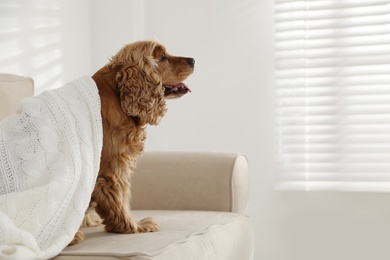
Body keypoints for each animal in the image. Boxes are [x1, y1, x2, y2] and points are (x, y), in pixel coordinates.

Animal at [70, 41, 195, 246]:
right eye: (162, 57)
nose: (193, 60)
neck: (117, 94)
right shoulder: (111, 168)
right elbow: (120, 199)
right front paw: (134, 227)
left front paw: (90, 221)